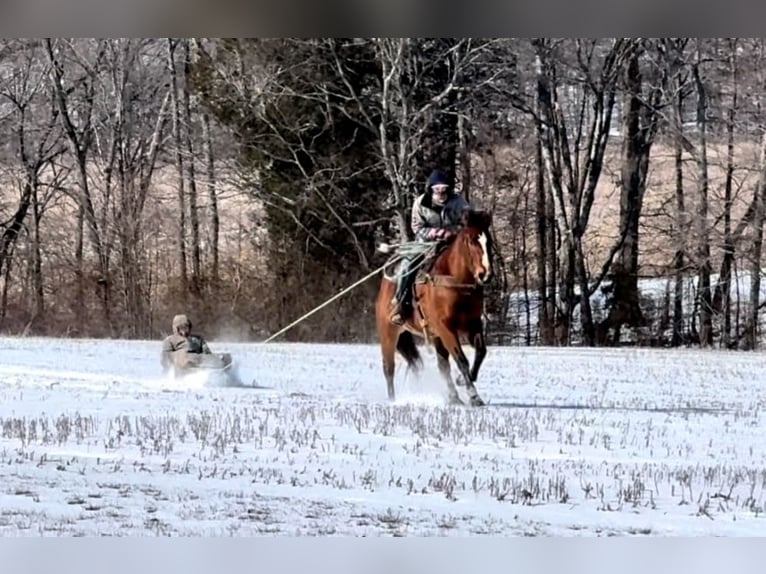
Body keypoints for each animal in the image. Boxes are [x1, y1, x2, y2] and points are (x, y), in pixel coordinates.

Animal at [376, 209, 496, 408]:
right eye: (471, 241)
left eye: (489, 241)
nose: (485, 275)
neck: (454, 281)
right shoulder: (446, 327)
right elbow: (461, 359)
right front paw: (474, 396)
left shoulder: (472, 324)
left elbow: (481, 352)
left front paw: (462, 381)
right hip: (389, 332)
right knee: (388, 368)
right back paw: (393, 400)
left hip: (433, 336)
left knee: (443, 365)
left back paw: (453, 397)